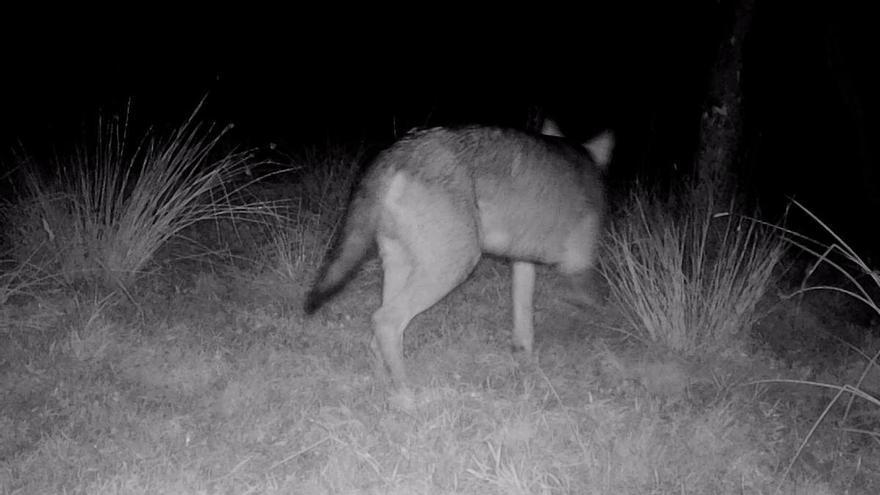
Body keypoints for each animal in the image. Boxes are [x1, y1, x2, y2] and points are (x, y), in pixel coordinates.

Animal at [305, 121, 613, 392]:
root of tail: (401, 149)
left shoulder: (523, 264)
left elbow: (523, 319)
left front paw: (525, 360)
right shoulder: (580, 267)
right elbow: (594, 310)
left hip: (401, 265)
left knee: (377, 334)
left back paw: (385, 385)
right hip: (454, 266)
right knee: (385, 321)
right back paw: (406, 395)